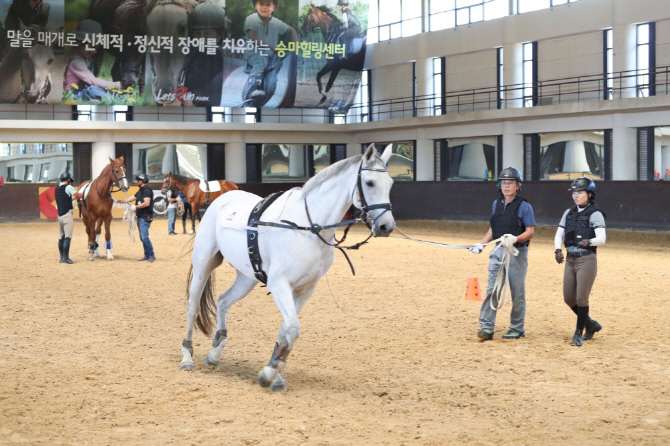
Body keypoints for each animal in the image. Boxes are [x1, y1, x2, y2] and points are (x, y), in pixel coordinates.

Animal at [181, 144, 396, 390]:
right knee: (193, 308)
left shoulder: (305, 288)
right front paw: (269, 372)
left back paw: (215, 354)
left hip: (247, 278)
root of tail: (223, 198)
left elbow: (286, 328)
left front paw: (275, 373)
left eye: (390, 183)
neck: (308, 228)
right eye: (369, 182)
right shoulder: (279, 284)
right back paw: (186, 357)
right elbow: (292, 327)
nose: (386, 226)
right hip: (203, 265)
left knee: (224, 301)